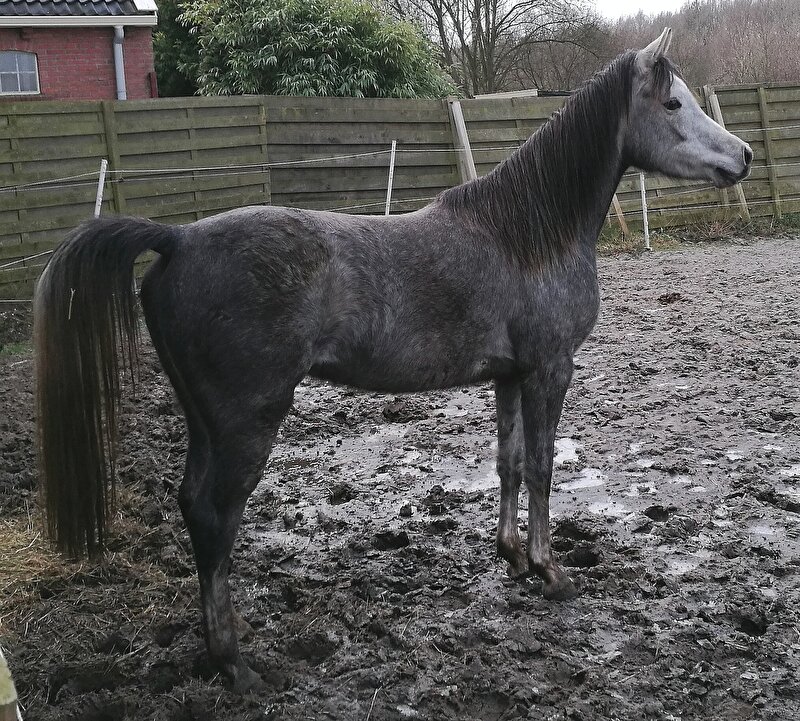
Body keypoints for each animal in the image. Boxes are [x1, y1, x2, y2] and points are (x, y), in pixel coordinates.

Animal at [36, 29, 752, 692]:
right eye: (672, 102)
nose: (743, 155)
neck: (526, 236)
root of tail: (177, 240)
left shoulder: (510, 377)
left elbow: (510, 465)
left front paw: (514, 557)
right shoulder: (550, 371)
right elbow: (545, 468)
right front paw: (551, 571)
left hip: (205, 422)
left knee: (192, 505)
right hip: (247, 423)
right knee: (217, 515)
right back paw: (233, 661)